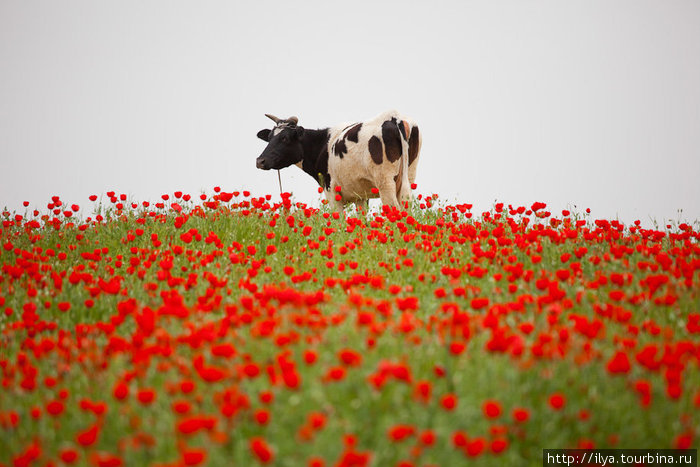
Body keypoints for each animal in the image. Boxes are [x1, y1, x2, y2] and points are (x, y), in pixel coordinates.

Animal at [258, 109, 422, 210]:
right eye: (269, 137)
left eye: (284, 138)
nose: (260, 161)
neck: (322, 144)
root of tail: (394, 117)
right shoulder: (360, 196)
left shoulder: (331, 191)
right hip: (409, 175)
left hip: (385, 182)